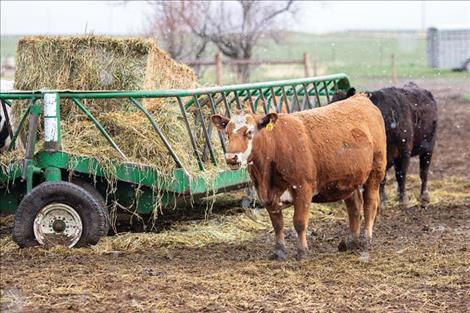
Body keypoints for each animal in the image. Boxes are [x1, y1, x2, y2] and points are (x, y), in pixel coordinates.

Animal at [212, 94, 386, 260]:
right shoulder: (267, 195)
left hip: (376, 171)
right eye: (227, 133)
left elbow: (299, 222)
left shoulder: (303, 188)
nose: (231, 158)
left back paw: (366, 240)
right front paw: (279, 252)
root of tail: (360, 97)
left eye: (249, 132)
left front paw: (302, 252)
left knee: (370, 204)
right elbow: (277, 224)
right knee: (354, 207)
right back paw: (352, 241)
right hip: (348, 179)